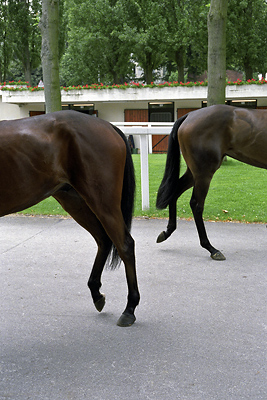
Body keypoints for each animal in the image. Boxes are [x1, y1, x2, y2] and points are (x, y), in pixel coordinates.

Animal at [1, 110, 140, 324]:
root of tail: (107, 125)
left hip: (103, 202)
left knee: (124, 244)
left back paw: (129, 308)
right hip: (75, 201)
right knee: (103, 239)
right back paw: (97, 294)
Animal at [157, 104, 267, 260]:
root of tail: (189, 116)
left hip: (194, 172)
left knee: (175, 191)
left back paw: (167, 232)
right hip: (204, 172)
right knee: (196, 205)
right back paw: (211, 248)